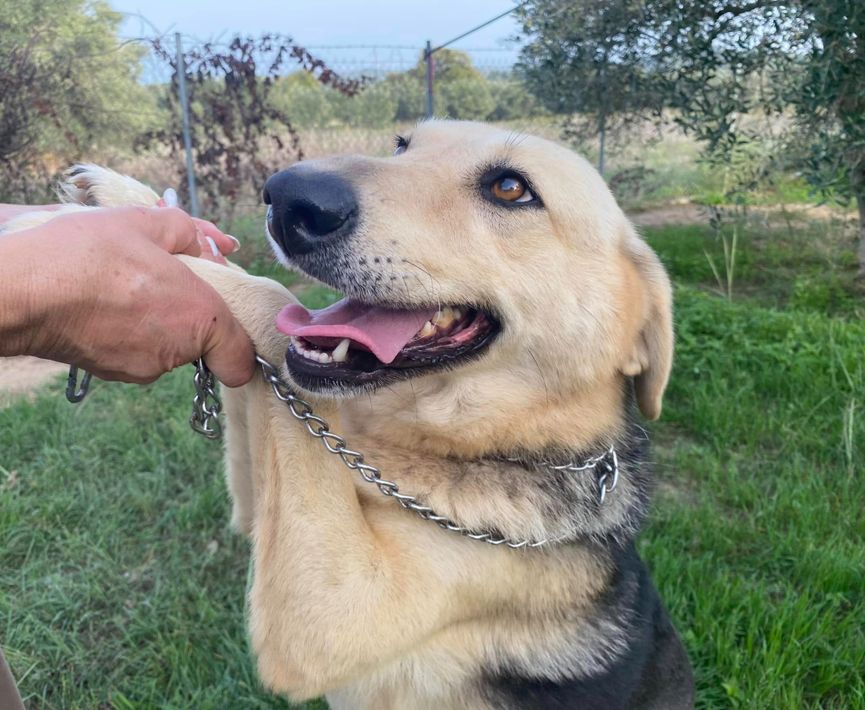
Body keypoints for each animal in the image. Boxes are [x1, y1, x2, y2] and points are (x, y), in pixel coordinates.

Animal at [10, 119, 695, 709]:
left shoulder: (336, 608)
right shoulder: (258, 501)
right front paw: (131, 203)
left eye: (511, 188)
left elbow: (271, 301)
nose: (288, 197)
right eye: (401, 146)